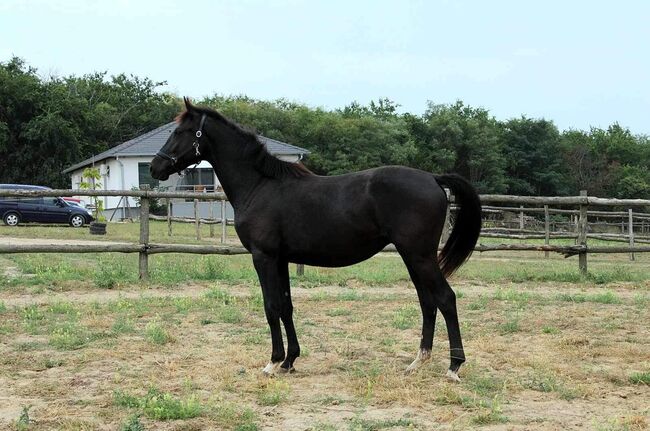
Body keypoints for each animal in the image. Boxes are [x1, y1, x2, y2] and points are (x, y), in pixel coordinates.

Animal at [149, 98, 478, 382]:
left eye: (180, 132)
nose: (155, 167)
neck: (260, 186)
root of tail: (433, 178)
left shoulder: (263, 257)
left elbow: (271, 306)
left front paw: (272, 362)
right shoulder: (280, 259)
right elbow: (286, 306)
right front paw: (290, 361)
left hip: (419, 255)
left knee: (445, 298)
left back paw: (454, 366)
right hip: (412, 256)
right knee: (427, 302)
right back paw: (418, 361)